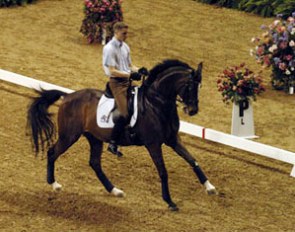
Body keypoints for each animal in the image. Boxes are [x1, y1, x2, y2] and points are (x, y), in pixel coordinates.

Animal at [27, 59, 217, 211]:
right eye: (190, 86)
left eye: (200, 87)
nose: (192, 110)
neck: (156, 103)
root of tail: (68, 96)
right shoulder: (153, 144)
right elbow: (163, 172)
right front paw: (170, 202)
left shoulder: (172, 139)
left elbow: (192, 160)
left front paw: (210, 188)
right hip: (69, 136)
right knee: (52, 153)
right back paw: (54, 185)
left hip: (94, 138)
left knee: (95, 163)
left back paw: (115, 190)